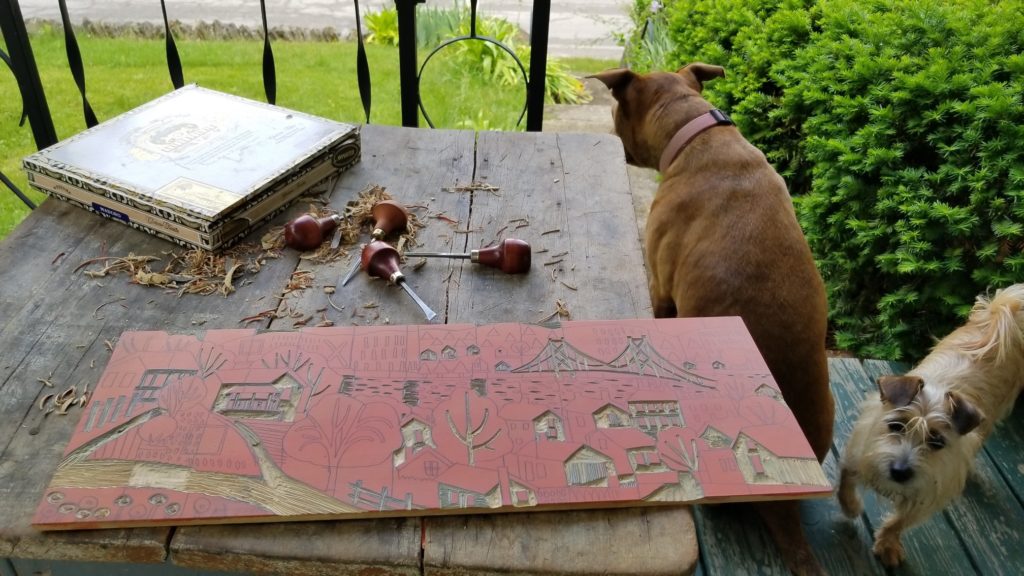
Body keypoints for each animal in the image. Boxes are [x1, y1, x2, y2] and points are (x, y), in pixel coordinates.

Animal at [839, 280, 1024, 561]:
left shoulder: (931, 493)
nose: (900, 472)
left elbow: (901, 521)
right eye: (896, 426)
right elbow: (846, 478)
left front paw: (888, 542)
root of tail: (1001, 312)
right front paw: (850, 506)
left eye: (936, 442)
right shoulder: (858, 451)